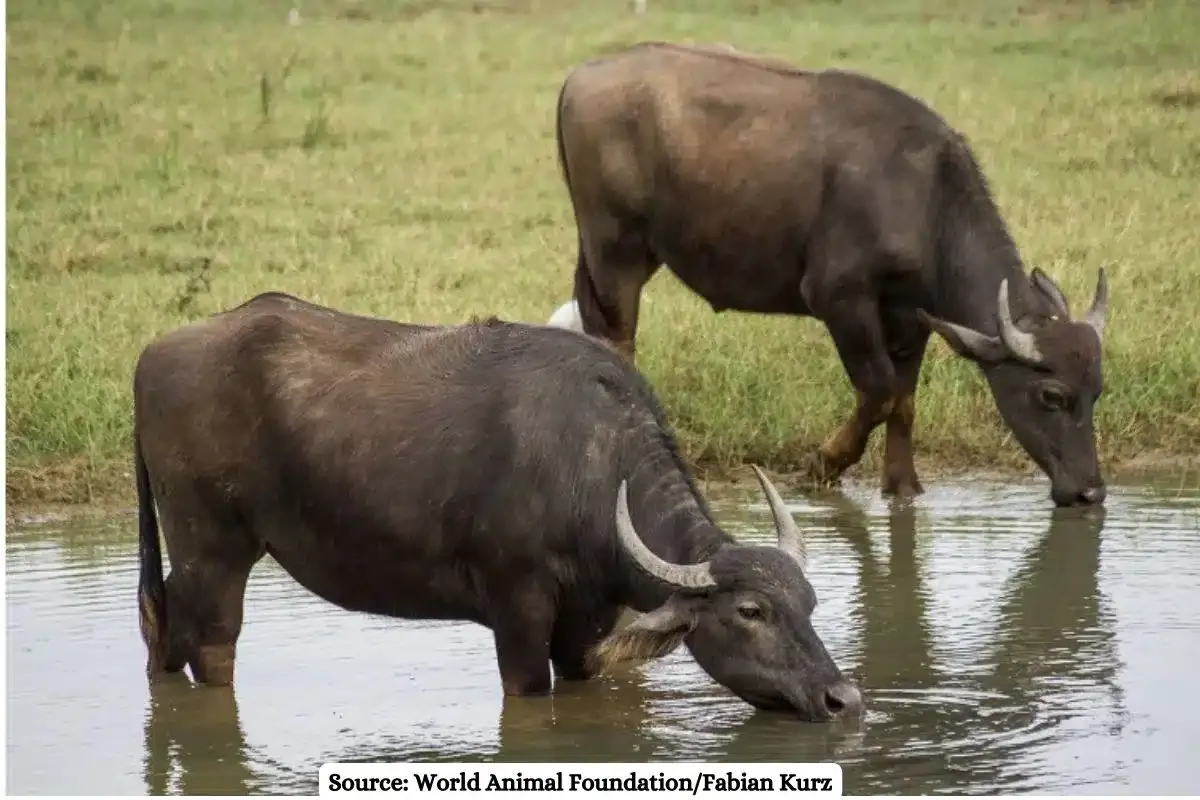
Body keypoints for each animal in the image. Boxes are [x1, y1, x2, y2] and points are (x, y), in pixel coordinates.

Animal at [134, 292, 862, 721]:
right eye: (751, 612)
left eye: (809, 603)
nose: (843, 698)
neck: (591, 469)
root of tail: (154, 354)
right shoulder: (518, 611)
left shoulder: (586, 624)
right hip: (213, 549)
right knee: (212, 646)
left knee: (163, 620)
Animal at [547, 42, 1109, 508]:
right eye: (1051, 396)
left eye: (1097, 391)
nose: (1091, 492)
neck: (927, 201)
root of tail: (579, 77)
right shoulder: (841, 301)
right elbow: (879, 391)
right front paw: (823, 464)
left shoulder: (911, 318)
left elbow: (904, 402)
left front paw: (902, 487)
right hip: (615, 250)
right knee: (618, 339)